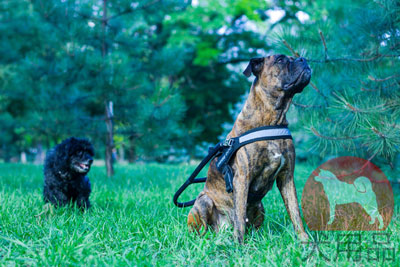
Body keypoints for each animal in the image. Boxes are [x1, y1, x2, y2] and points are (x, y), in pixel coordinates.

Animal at [188, 54, 312, 243]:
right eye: (281, 60)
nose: (303, 60)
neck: (272, 118)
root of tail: (222, 229)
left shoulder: (287, 177)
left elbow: (295, 211)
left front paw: (304, 239)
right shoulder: (242, 178)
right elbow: (239, 216)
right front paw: (239, 244)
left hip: (260, 206)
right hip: (203, 202)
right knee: (202, 228)